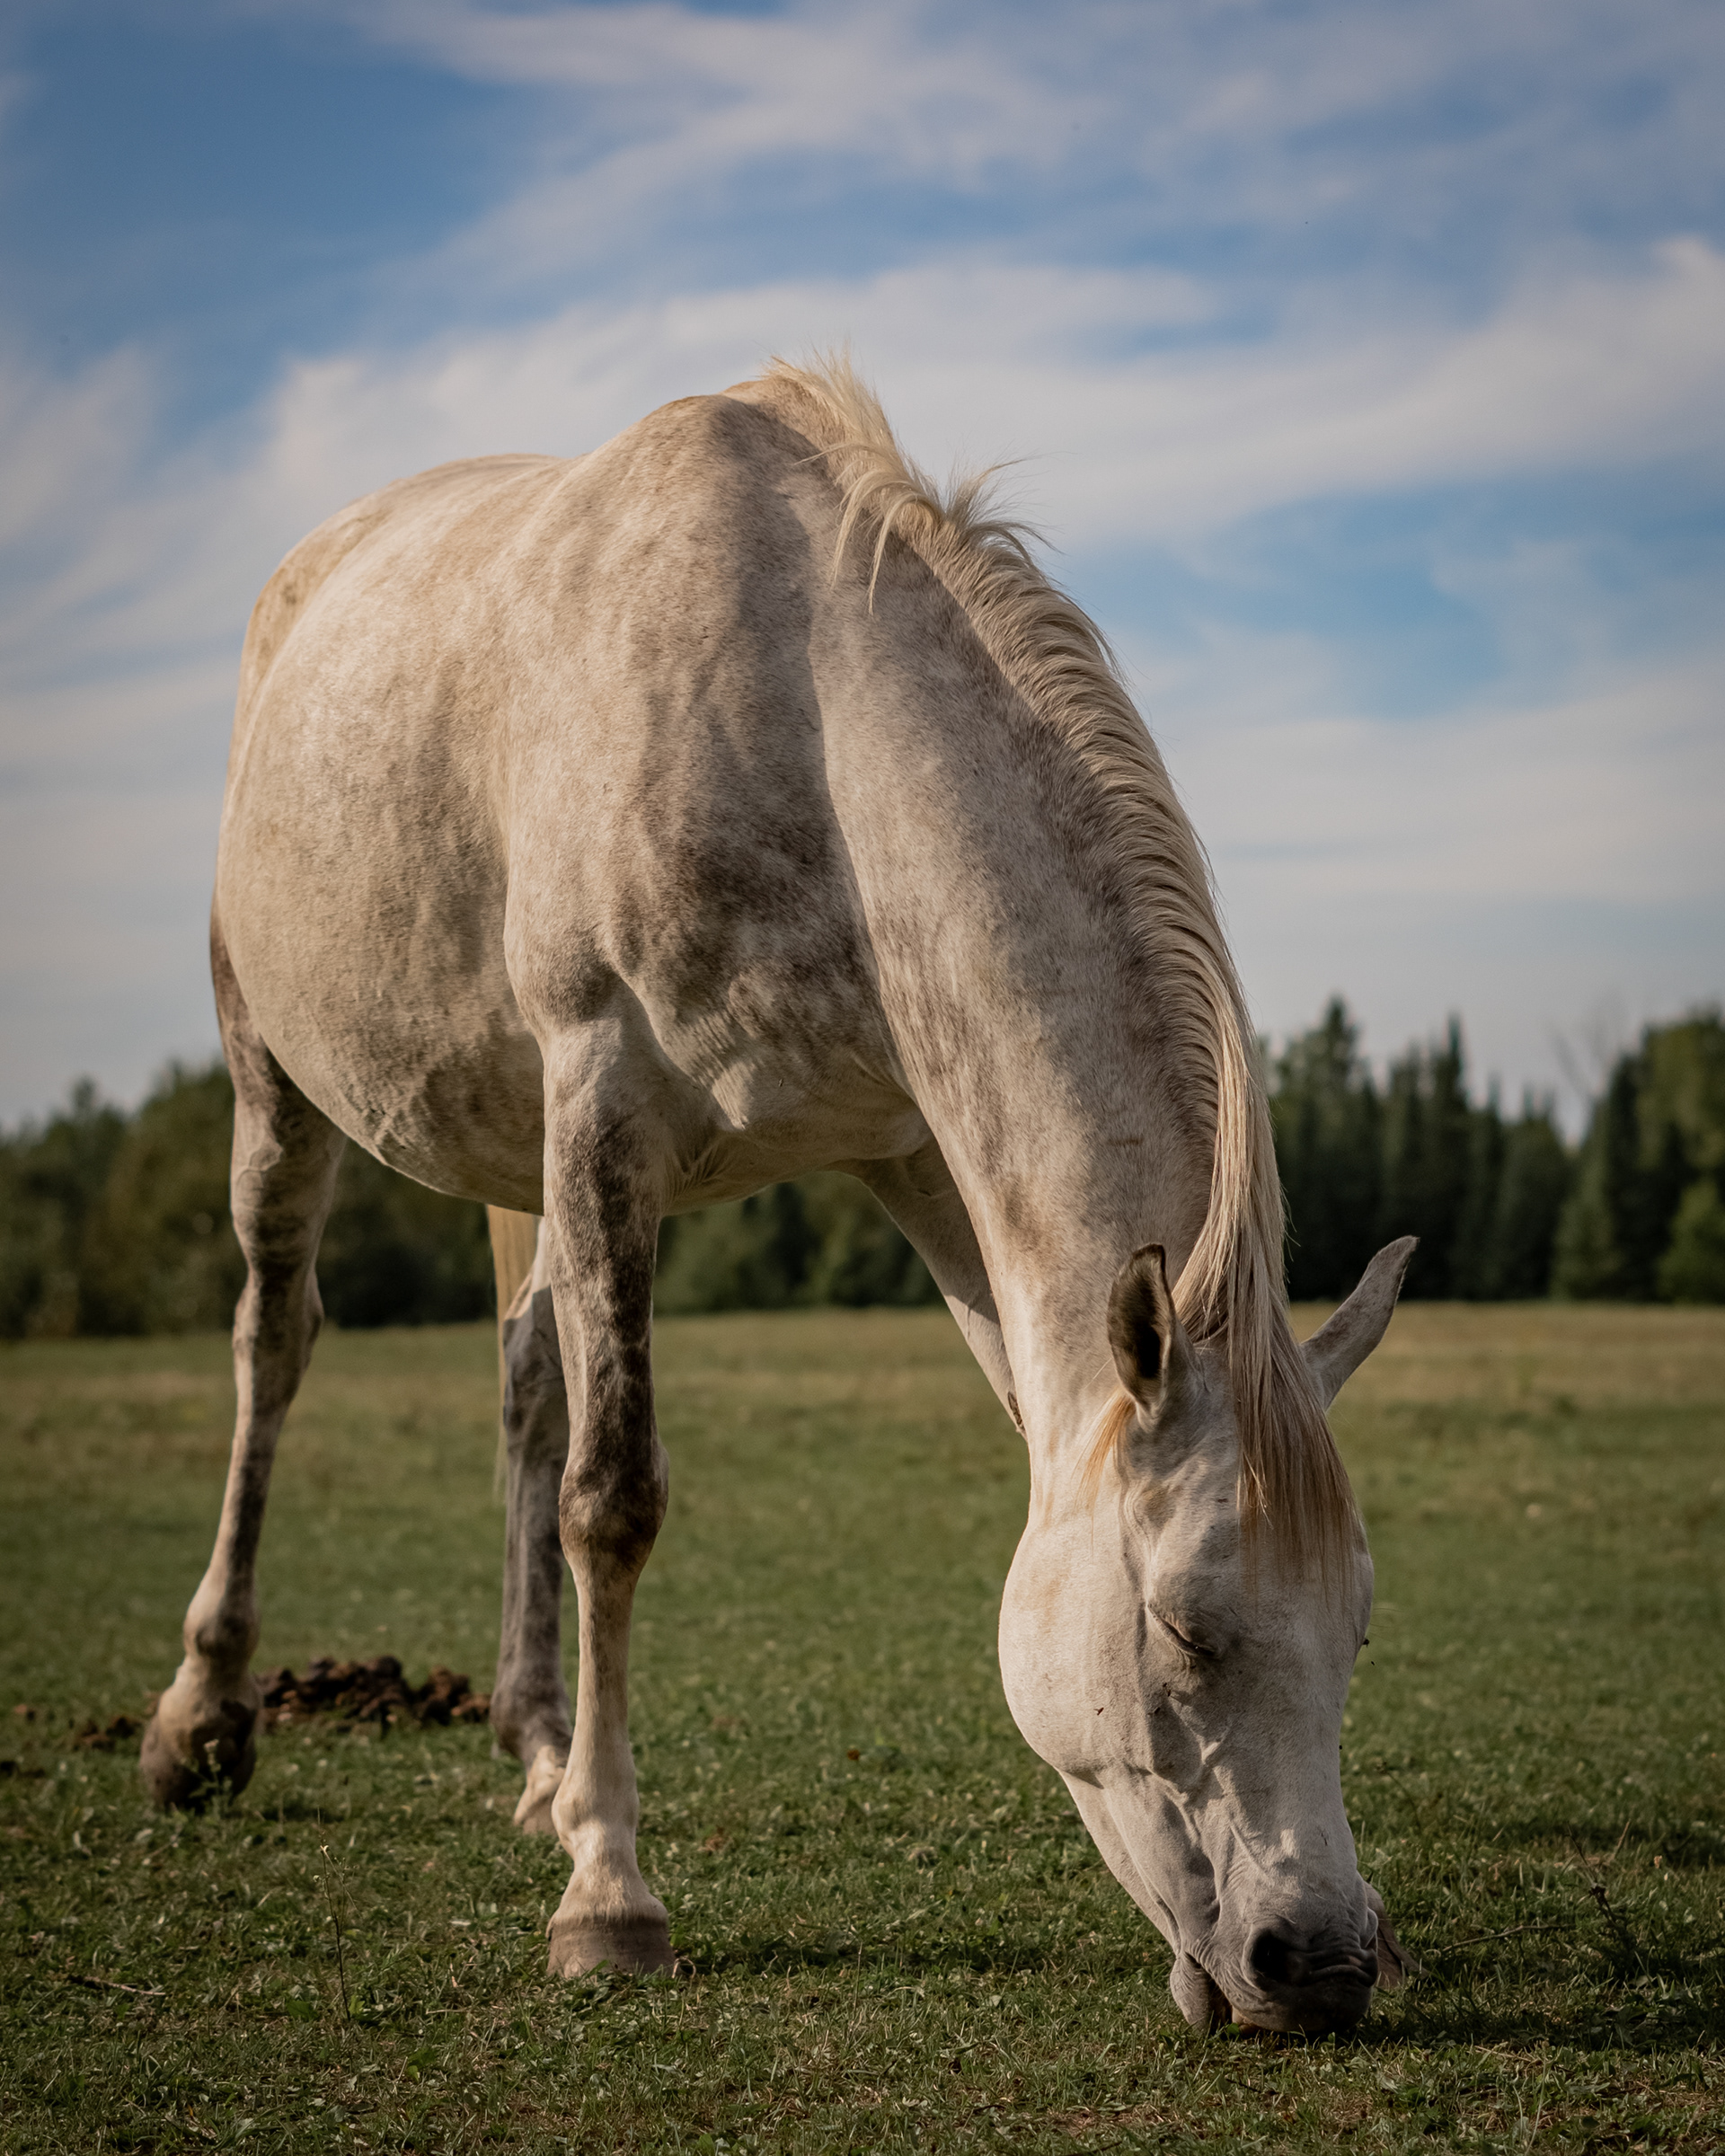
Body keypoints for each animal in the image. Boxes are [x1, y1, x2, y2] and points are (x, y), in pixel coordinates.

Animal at [141, 356, 1416, 2034]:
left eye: (1355, 1628)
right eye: (1183, 1629)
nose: (1319, 1966)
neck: (806, 729)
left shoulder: (918, 1158)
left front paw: (578, 1808)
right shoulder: (604, 1103)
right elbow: (612, 1500)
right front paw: (610, 1896)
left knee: (524, 1375)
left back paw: (538, 1752)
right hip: (273, 1077)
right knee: (272, 1349)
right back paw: (205, 1716)